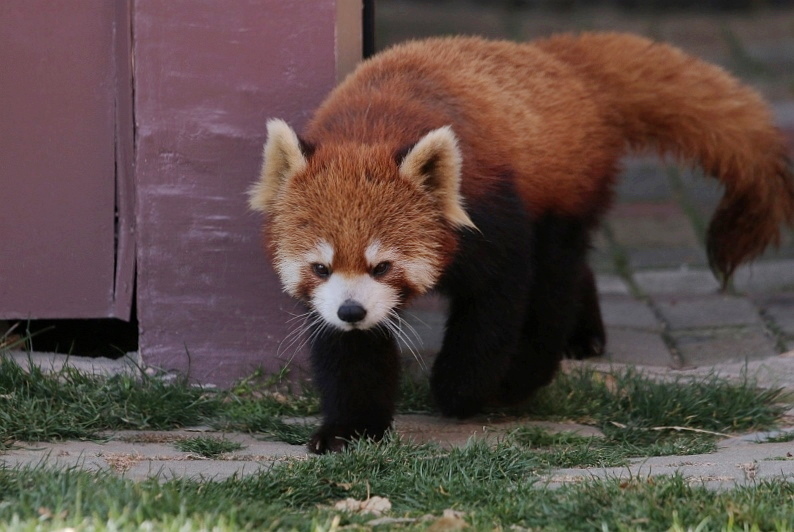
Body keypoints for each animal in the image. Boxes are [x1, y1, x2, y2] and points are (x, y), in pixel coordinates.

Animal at [249, 31, 792, 454]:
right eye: (321, 267)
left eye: (382, 265)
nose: (352, 311)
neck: (370, 125)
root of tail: (557, 63)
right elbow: (348, 354)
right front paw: (349, 429)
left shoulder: (491, 212)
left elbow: (495, 305)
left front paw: (460, 389)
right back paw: (580, 336)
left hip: (560, 194)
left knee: (552, 280)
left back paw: (528, 372)